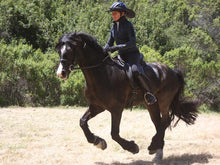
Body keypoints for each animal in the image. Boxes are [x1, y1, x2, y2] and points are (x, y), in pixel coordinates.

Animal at [55, 31, 198, 161]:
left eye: (70, 50)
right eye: (59, 51)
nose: (61, 73)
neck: (102, 73)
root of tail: (173, 71)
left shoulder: (116, 109)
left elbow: (114, 134)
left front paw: (132, 147)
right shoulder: (97, 107)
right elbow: (82, 122)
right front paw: (98, 142)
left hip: (164, 101)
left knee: (165, 122)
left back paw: (153, 146)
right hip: (151, 105)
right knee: (159, 124)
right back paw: (156, 150)